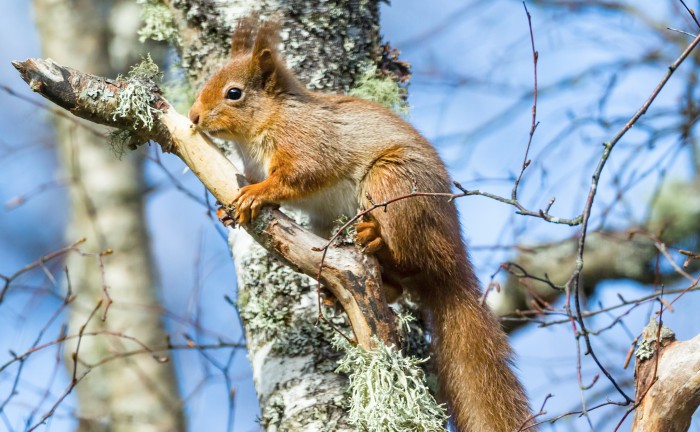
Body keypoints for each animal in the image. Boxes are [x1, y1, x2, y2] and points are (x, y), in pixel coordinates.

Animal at [186, 15, 532, 430]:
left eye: (234, 93)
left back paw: (376, 240)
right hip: (327, 225)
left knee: (411, 257)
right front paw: (227, 207)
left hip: (392, 185)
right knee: (397, 286)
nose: (192, 117)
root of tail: (453, 260)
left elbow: (298, 175)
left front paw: (257, 193)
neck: (266, 123)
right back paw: (340, 290)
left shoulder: (309, 142)